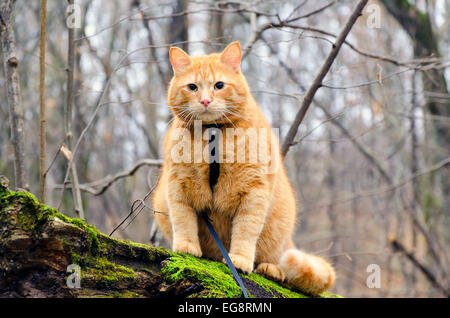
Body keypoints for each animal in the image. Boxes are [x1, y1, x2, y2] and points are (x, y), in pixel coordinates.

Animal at [153, 41, 336, 294]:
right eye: (192, 87)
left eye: (219, 85)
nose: (205, 101)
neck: (213, 133)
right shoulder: (178, 186)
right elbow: (183, 220)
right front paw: (186, 247)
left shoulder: (254, 191)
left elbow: (246, 231)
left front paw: (238, 260)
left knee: (278, 260)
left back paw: (271, 269)